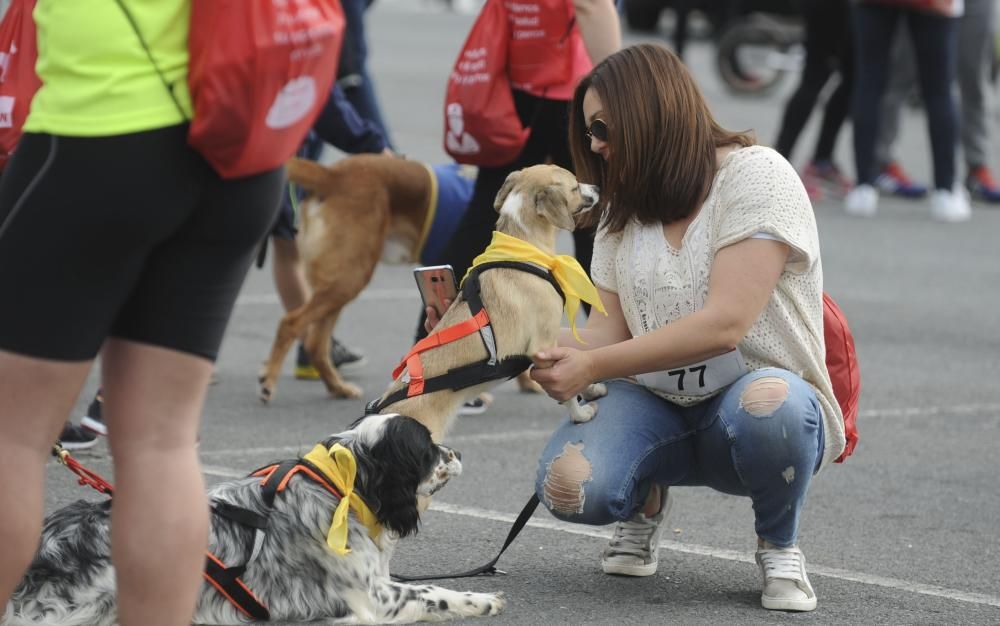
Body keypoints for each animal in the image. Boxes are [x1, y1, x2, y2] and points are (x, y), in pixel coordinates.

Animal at [254, 154, 544, 402]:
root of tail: (333, 174)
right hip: (348, 279)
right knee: (291, 323)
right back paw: (269, 382)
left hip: (341, 281)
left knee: (315, 344)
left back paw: (338, 388)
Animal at [368, 165, 600, 438]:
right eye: (575, 186)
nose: (598, 187)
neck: (522, 247)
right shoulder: (543, 347)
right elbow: (567, 391)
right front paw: (580, 415)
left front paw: (592, 388)